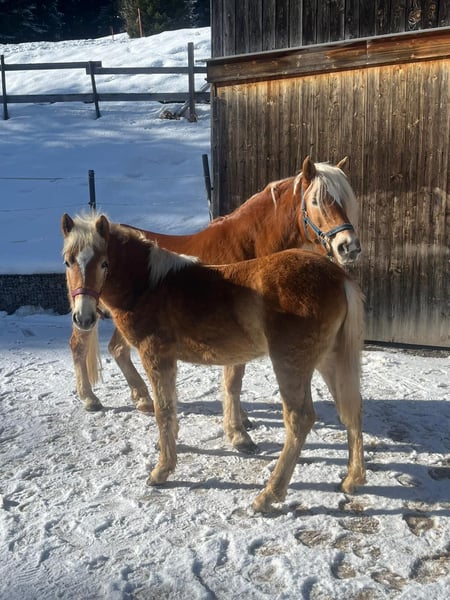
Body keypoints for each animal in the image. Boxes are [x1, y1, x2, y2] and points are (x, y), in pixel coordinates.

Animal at [61, 213, 366, 513]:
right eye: (68, 261)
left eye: (104, 263)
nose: (84, 317)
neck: (149, 285)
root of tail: (339, 277)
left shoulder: (157, 357)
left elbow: (164, 411)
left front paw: (162, 470)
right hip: (329, 359)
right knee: (351, 409)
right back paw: (352, 480)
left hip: (291, 363)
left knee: (300, 420)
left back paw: (268, 495)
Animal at [68, 156, 361, 452]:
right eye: (316, 201)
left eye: (344, 201)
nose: (348, 247)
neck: (245, 249)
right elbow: (233, 379)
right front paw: (238, 432)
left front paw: (240, 422)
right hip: (86, 315)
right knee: (79, 346)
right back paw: (90, 398)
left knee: (117, 349)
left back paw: (142, 399)